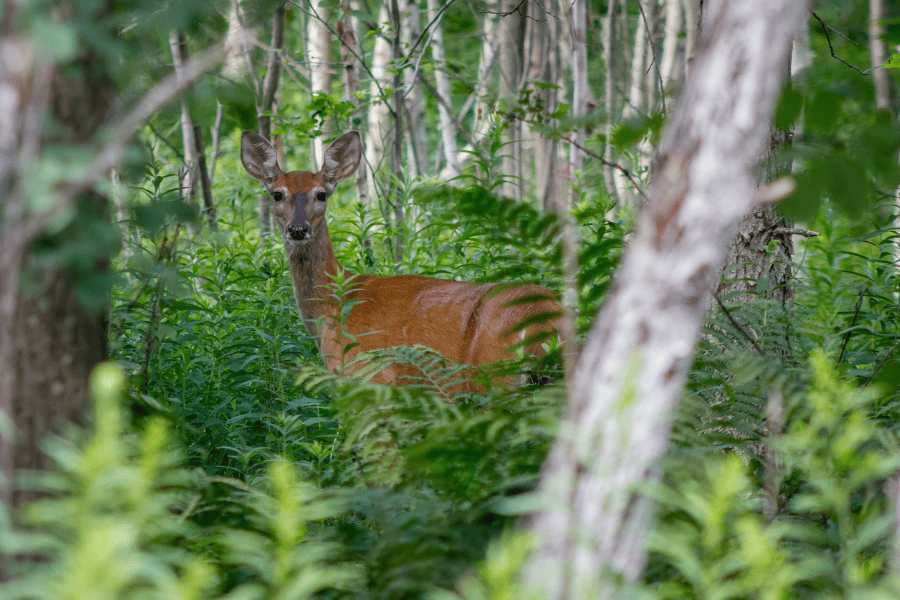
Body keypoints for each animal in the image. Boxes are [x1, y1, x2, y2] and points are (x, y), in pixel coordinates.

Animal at [243, 128, 560, 386]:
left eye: (321, 194)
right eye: (276, 194)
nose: (298, 229)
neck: (334, 307)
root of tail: (544, 321)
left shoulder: (373, 377)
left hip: (493, 375)